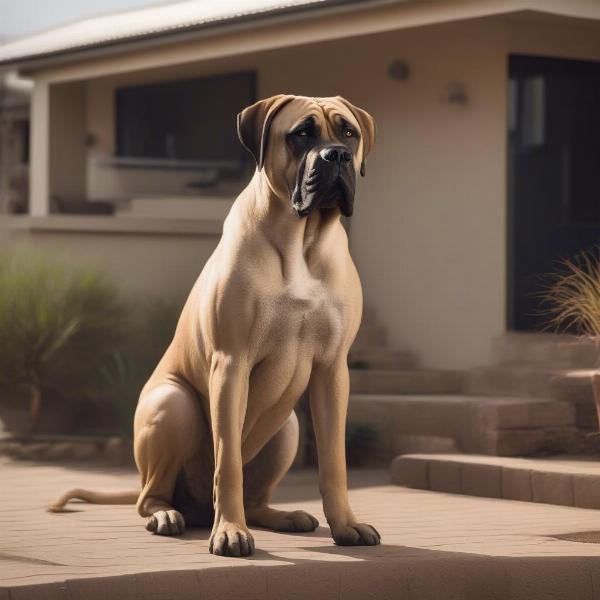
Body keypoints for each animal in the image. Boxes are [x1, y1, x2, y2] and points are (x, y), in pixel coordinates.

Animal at [52, 94, 380, 556]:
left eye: (348, 132)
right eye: (301, 134)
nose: (338, 155)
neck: (301, 240)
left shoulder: (332, 371)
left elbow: (334, 461)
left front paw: (346, 525)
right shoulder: (231, 364)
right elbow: (227, 464)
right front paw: (229, 531)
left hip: (288, 428)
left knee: (255, 497)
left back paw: (281, 515)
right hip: (173, 406)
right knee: (149, 496)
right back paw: (168, 515)